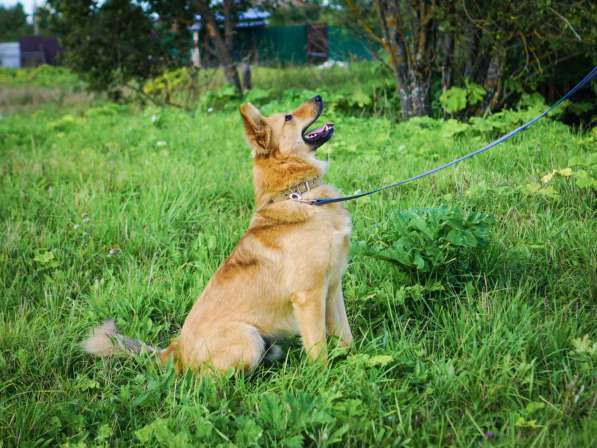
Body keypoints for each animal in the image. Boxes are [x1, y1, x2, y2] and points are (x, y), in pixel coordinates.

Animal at [84, 96, 354, 372]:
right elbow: (319, 351)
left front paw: (353, 363)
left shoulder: (333, 288)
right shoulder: (309, 297)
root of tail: (175, 351)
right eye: (288, 117)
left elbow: (346, 336)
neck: (297, 195)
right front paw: (324, 376)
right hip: (249, 338)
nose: (319, 97)